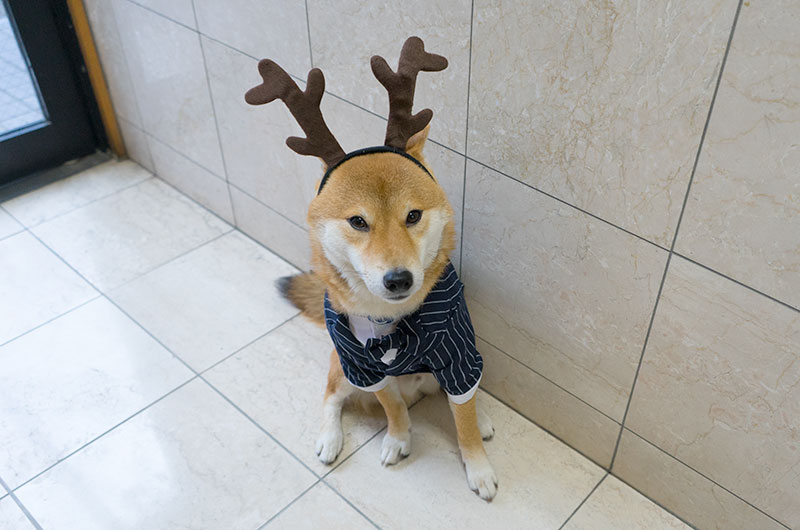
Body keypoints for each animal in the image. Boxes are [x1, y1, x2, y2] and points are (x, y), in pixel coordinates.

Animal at [247, 35, 500, 498]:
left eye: (413, 216)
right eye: (358, 222)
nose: (398, 279)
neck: (391, 321)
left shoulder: (457, 353)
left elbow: (464, 419)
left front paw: (478, 466)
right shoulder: (364, 367)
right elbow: (393, 408)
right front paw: (398, 439)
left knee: (463, 396)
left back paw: (484, 414)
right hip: (340, 366)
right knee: (332, 397)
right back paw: (330, 438)